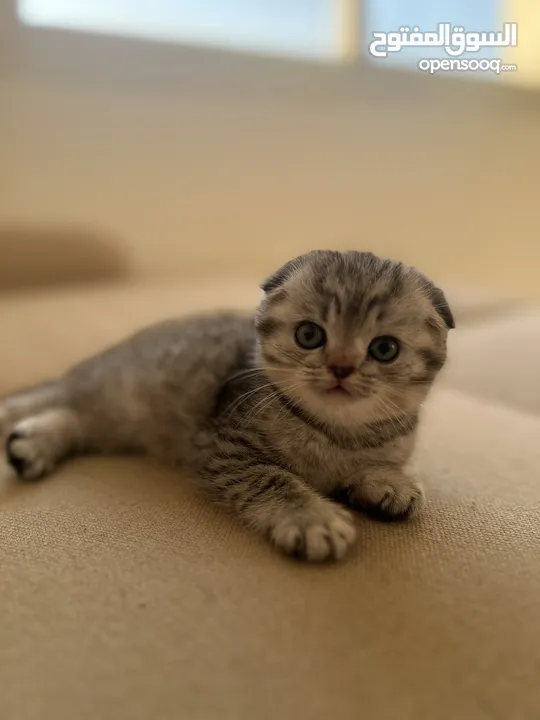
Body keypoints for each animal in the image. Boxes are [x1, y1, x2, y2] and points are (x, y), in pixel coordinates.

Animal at [2, 252, 454, 564]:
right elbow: (273, 478)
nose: (341, 367)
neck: (336, 432)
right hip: (114, 392)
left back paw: (33, 445)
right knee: (61, 402)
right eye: (309, 335)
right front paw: (312, 518)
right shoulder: (222, 446)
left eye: (384, 349)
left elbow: (383, 460)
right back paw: (34, 441)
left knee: (75, 418)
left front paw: (388, 481)